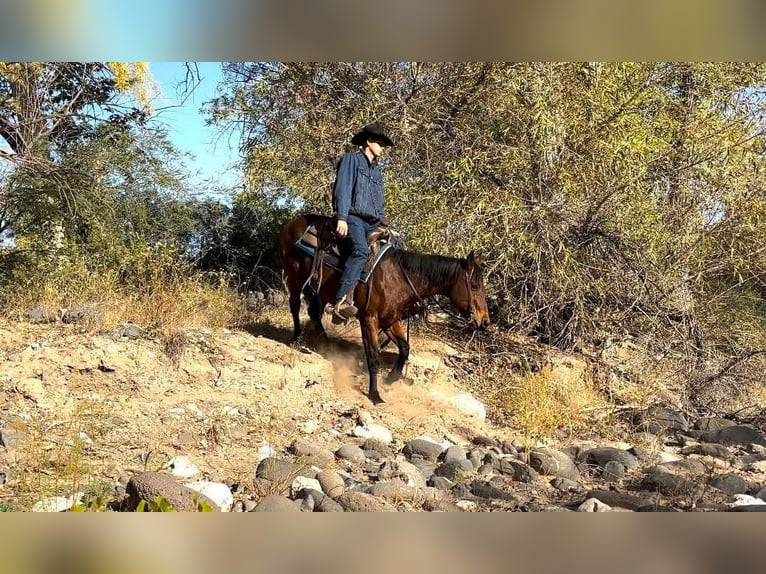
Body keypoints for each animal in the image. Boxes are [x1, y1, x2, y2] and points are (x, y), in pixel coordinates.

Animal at [278, 214, 490, 405]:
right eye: (474, 286)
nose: (485, 321)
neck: (398, 278)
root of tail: (294, 222)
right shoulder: (369, 320)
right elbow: (373, 358)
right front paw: (374, 394)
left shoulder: (391, 320)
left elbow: (404, 348)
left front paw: (392, 377)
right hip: (294, 277)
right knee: (295, 305)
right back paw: (296, 338)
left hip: (319, 289)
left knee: (314, 312)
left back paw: (324, 343)